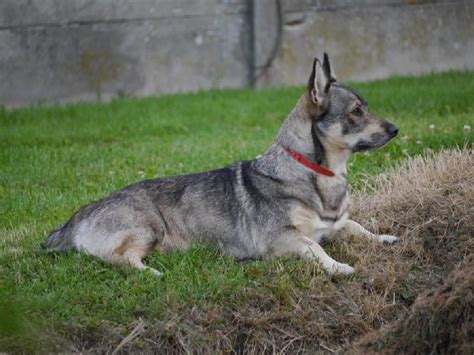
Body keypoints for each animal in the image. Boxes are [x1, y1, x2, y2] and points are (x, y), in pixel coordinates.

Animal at [45, 53, 400, 276]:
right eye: (356, 111)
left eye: (365, 107)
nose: (396, 129)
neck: (315, 172)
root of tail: (75, 218)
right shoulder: (283, 238)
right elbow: (316, 249)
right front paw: (338, 267)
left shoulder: (335, 226)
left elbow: (357, 227)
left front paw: (383, 238)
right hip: (148, 227)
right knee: (118, 259)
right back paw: (150, 273)